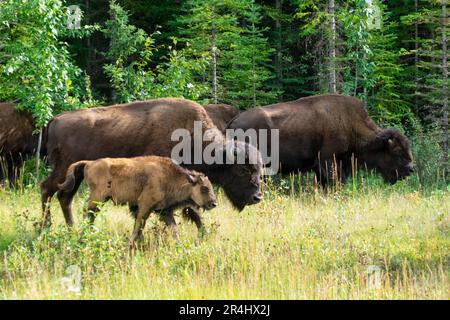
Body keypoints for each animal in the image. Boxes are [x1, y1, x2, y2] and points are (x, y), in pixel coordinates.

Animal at [40, 98, 262, 228]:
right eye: (243, 169)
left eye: (259, 170)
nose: (256, 197)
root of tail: (54, 120)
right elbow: (191, 211)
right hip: (63, 170)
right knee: (47, 189)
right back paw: (46, 227)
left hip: (74, 176)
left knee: (63, 197)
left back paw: (70, 228)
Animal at [58, 156, 218, 249]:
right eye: (204, 188)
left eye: (210, 187)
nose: (213, 203)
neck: (169, 177)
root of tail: (89, 163)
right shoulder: (144, 206)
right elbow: (138, 227)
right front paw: (130, 246)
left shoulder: (165, 212)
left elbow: (174, 231)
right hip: (97, 198)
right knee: (88, 214)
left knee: (89, 215)